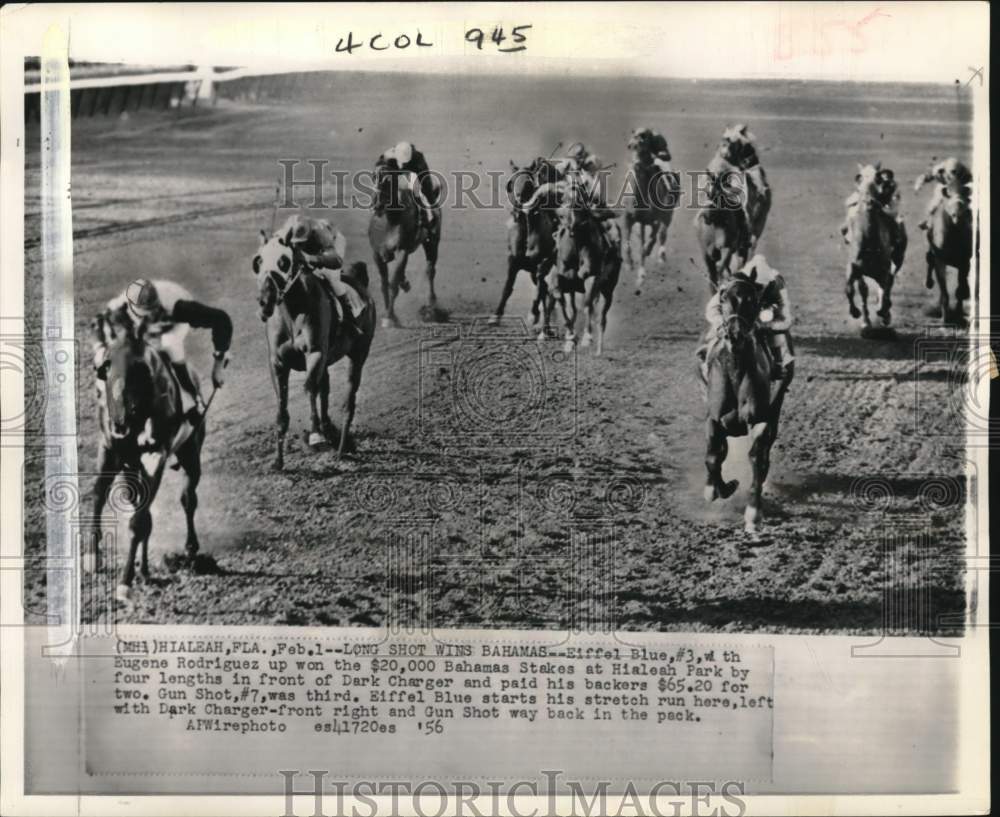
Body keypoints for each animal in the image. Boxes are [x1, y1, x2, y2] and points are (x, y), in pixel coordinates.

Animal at [89, 318, 206, 600]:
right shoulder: (110, 450)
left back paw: (189, 547)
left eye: (140, 372)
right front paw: (92, 557)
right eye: (105, 368)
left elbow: (139, 521)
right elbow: (98, 494)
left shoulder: (156, 456)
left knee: (188, 498)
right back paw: (144, 569)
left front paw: (125, 581)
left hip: (190, 454)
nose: (120, 424)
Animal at [252, 233, 376, 468]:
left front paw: (315, 435)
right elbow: (282, 409)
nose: (264, 302)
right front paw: (278, 461)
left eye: (284, 261)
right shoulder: (278, 363)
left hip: (359, 354)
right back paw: (331, 432)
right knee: (324, 389)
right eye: (259, 261)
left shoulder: (316, 354)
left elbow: (309, 388)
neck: (292, 313)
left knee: (348, 401)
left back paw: (341, 447)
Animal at [368, 171, 442, 326]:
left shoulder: (402, 252)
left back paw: (431, 303)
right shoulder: (377, 254)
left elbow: (392, 284)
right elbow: (384, 284)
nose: (375, 204)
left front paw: (390, 317)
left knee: (430, 271)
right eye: (373, 177)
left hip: (432, 244)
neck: (389, 220)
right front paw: (387, 312)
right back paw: (405, 283)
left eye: (388, 179)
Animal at [492, 156, 564, 328]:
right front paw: (496, 315)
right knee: (544, 287)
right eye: (510, 183)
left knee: (548, 288)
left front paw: (533, 314)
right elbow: (508, 287)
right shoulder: (513, 260)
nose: (518, 206)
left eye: (528, 183)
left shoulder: (544, 260)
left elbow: (541, 285)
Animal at [704, 270, 788, 532]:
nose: (735, 334)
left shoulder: (761, 417)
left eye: (753, 300)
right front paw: (719, 488)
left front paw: (753, 512)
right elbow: (713, 456)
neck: (735, 368)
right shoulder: (713, 418)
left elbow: (756, 457)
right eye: (723, 297)